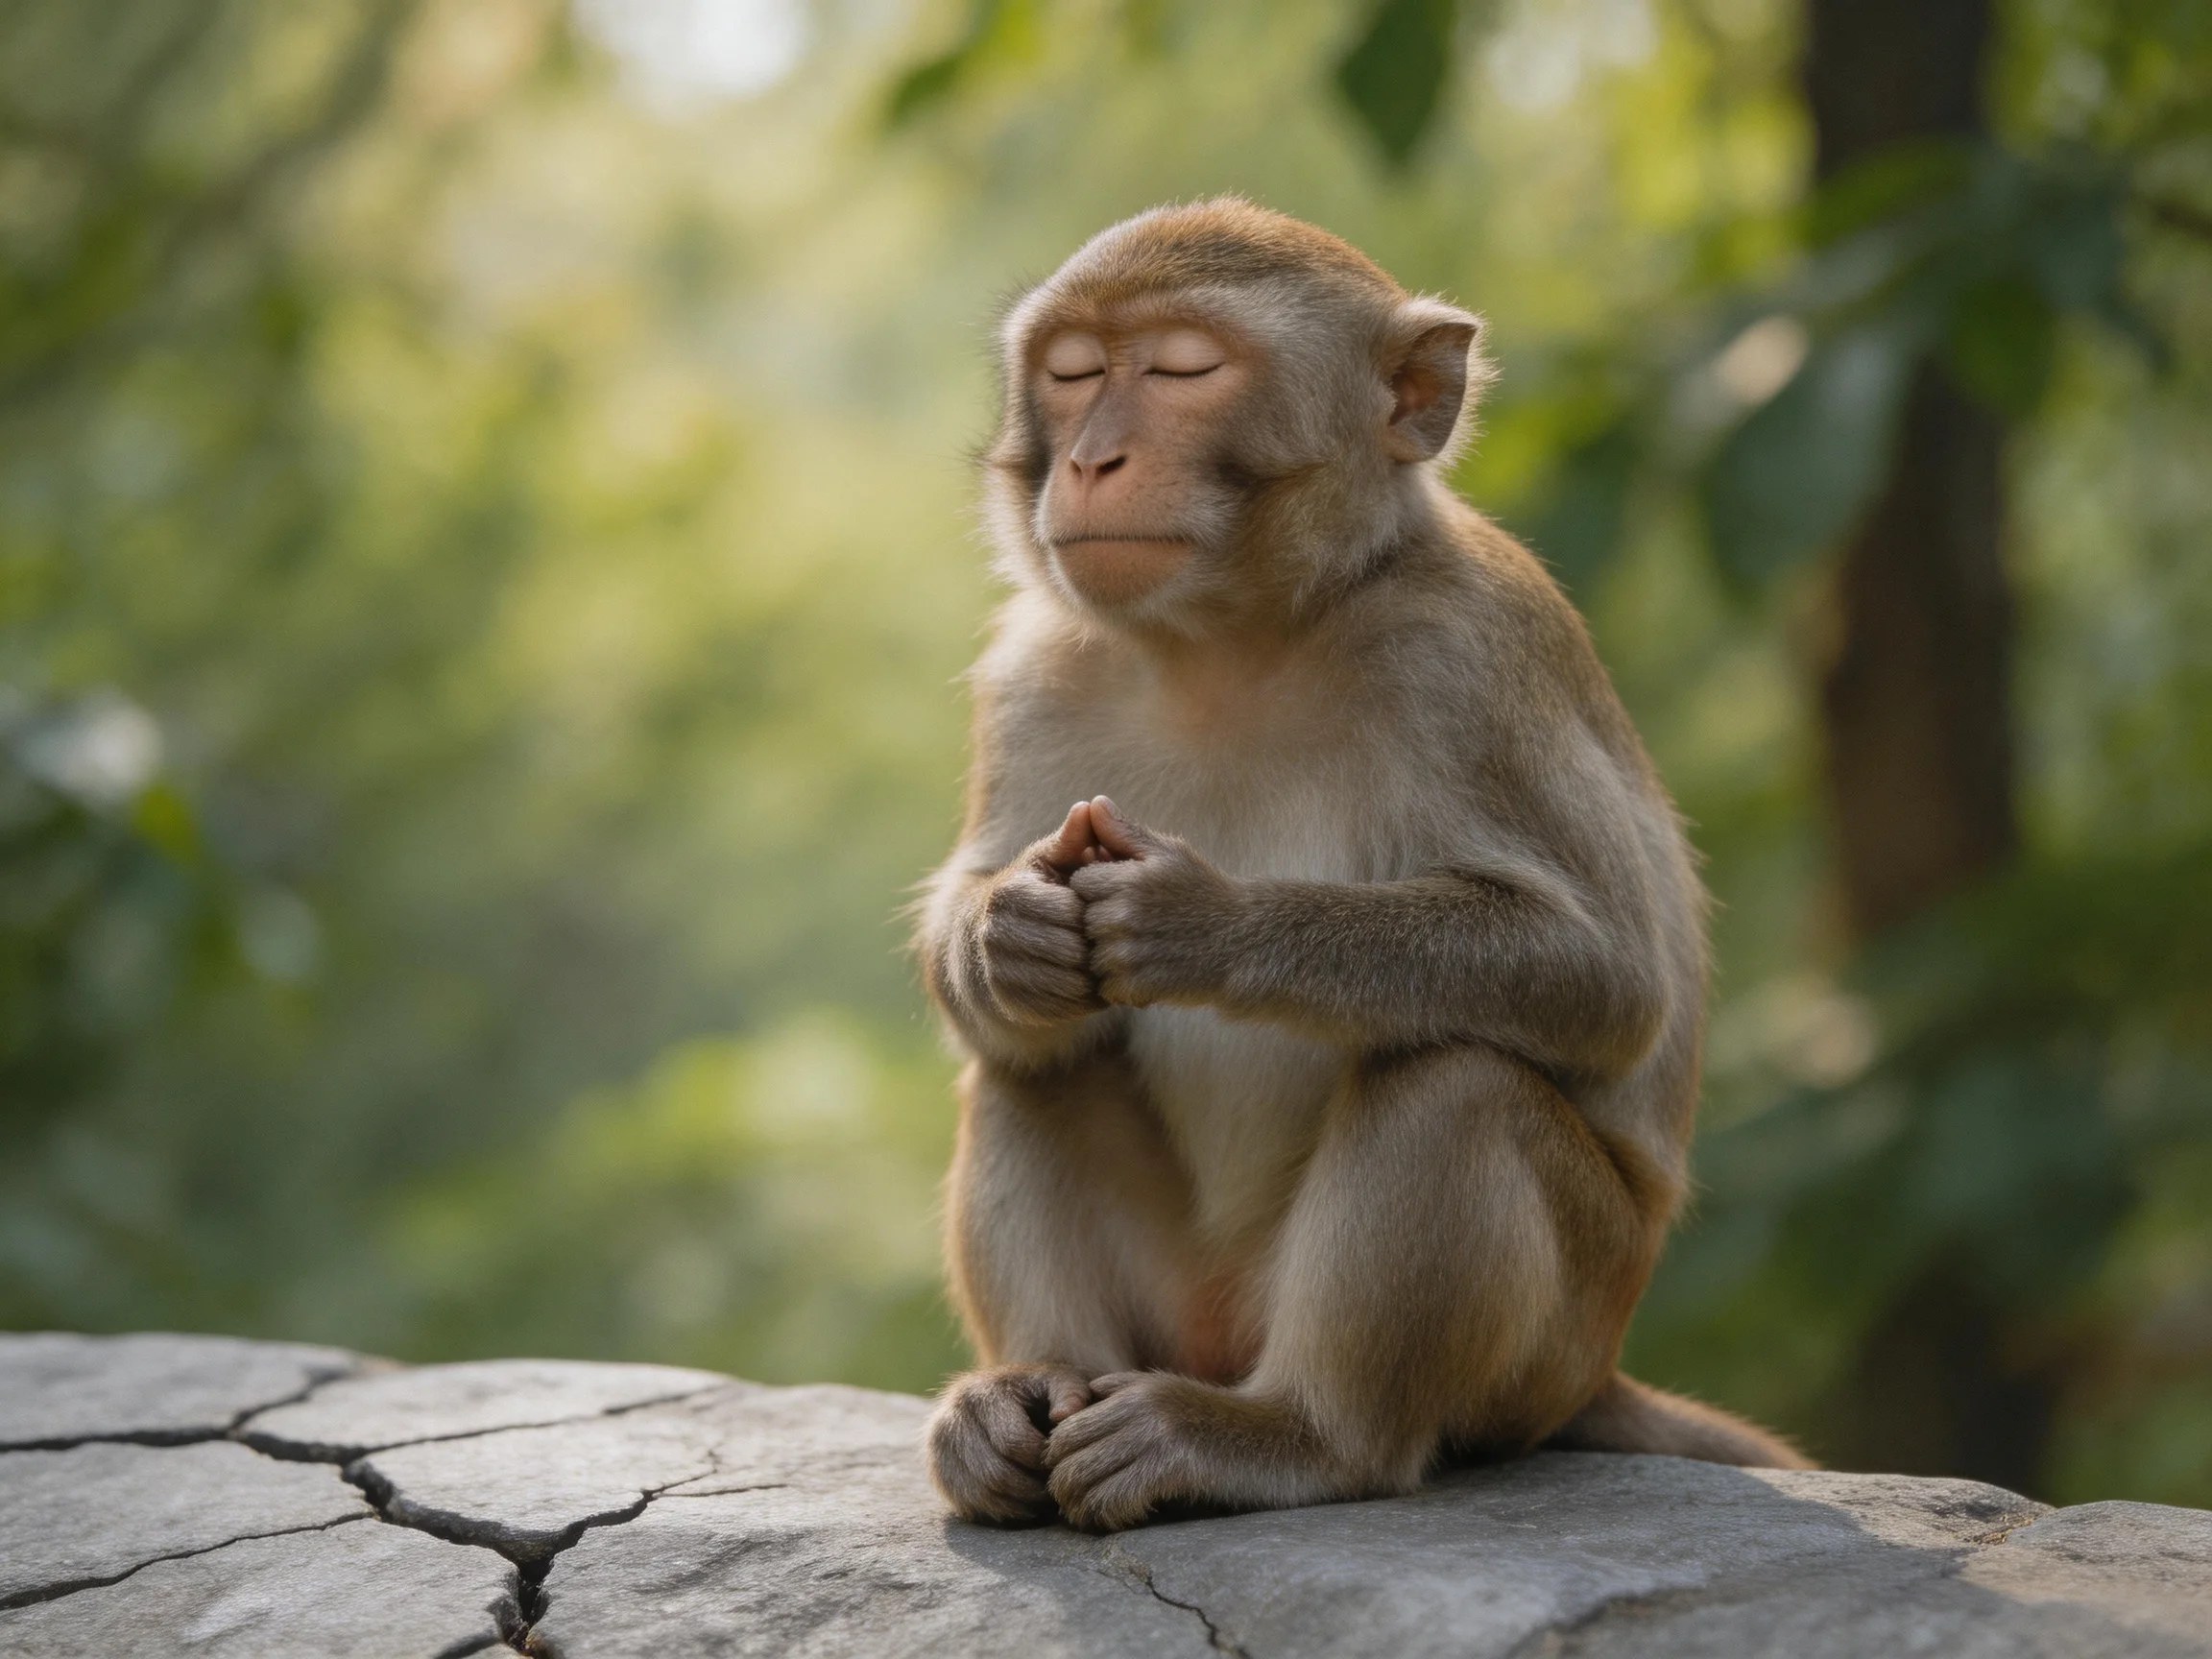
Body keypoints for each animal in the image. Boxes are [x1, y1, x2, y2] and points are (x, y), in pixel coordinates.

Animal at [913, 198, 1808, 1533]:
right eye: (1073, 375)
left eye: (1182, 370)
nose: (1091, 461)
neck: (1228, 641)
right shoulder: (1034, 667)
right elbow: (996, 967)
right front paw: (1004, 931)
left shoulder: (1465, 656)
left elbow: (1606, 976)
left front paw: (1200, 924)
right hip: (1183, 1306)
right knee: (1033, 1067)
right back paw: (1022, 1404)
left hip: (1553, 1336)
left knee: (1454, 1082)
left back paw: (1292, 1438)